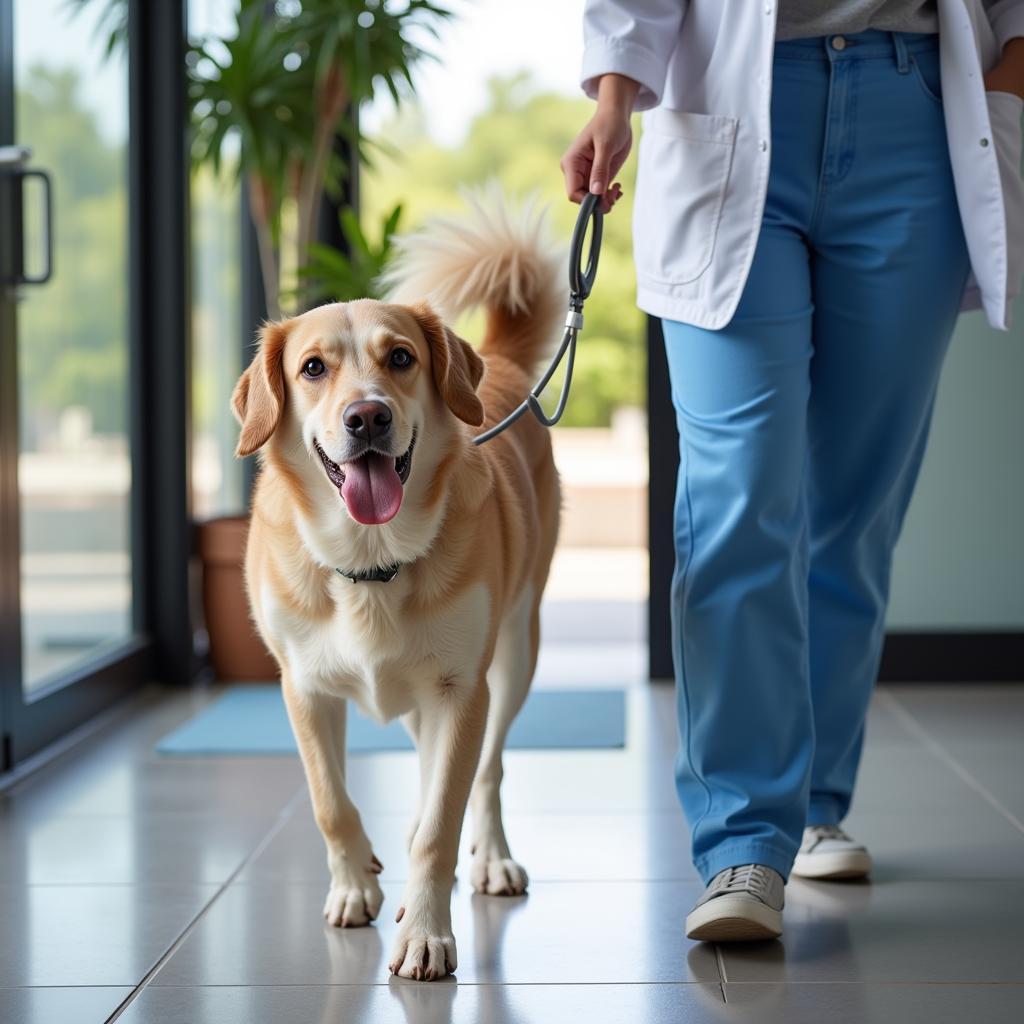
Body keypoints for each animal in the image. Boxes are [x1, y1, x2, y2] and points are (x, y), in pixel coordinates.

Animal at [232, 193, 565, 983]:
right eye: (313, 368)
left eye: (402, 358)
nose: (368, 417)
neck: (370, 563)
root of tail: (505, 370)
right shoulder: (303, 687)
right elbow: (331, 801)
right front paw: (355, 886)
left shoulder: (460, 688)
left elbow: (446, 821)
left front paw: (427, 933)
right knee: (428, 763)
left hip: (513, 655)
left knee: (486, 771)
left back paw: (491, 857)